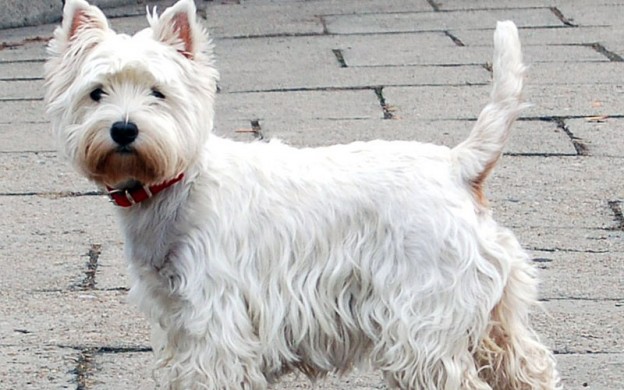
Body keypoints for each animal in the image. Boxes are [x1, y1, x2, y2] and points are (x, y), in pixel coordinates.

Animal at [44, 1, 560, 388]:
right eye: (96, 93)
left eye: (158, 92)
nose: (124, 129)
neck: (175, 182)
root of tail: (457, 165)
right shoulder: (174, 313)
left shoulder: (216, 315)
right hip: (494, 310)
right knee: (529, 364)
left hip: (422, 318)